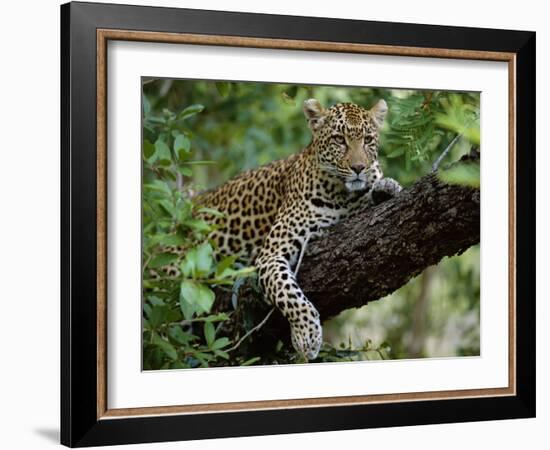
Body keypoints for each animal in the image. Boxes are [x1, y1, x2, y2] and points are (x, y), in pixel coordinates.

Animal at [160, 99, 402, 362]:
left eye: (368, 140)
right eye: (339, 139)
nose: (359, 167)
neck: (344, 196)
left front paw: (386, 188)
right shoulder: (271, 254)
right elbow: (289, 293)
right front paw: (307, 336)